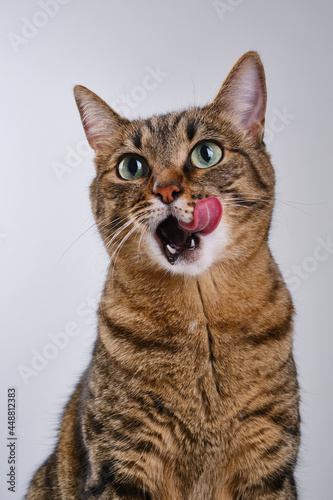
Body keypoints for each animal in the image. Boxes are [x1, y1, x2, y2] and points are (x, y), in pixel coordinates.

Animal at [26, 51, 300, 500]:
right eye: (131, 166)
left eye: (206, 153)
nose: (166, 190)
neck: (202, 327)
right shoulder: (123, 465)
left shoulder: (269, 461)